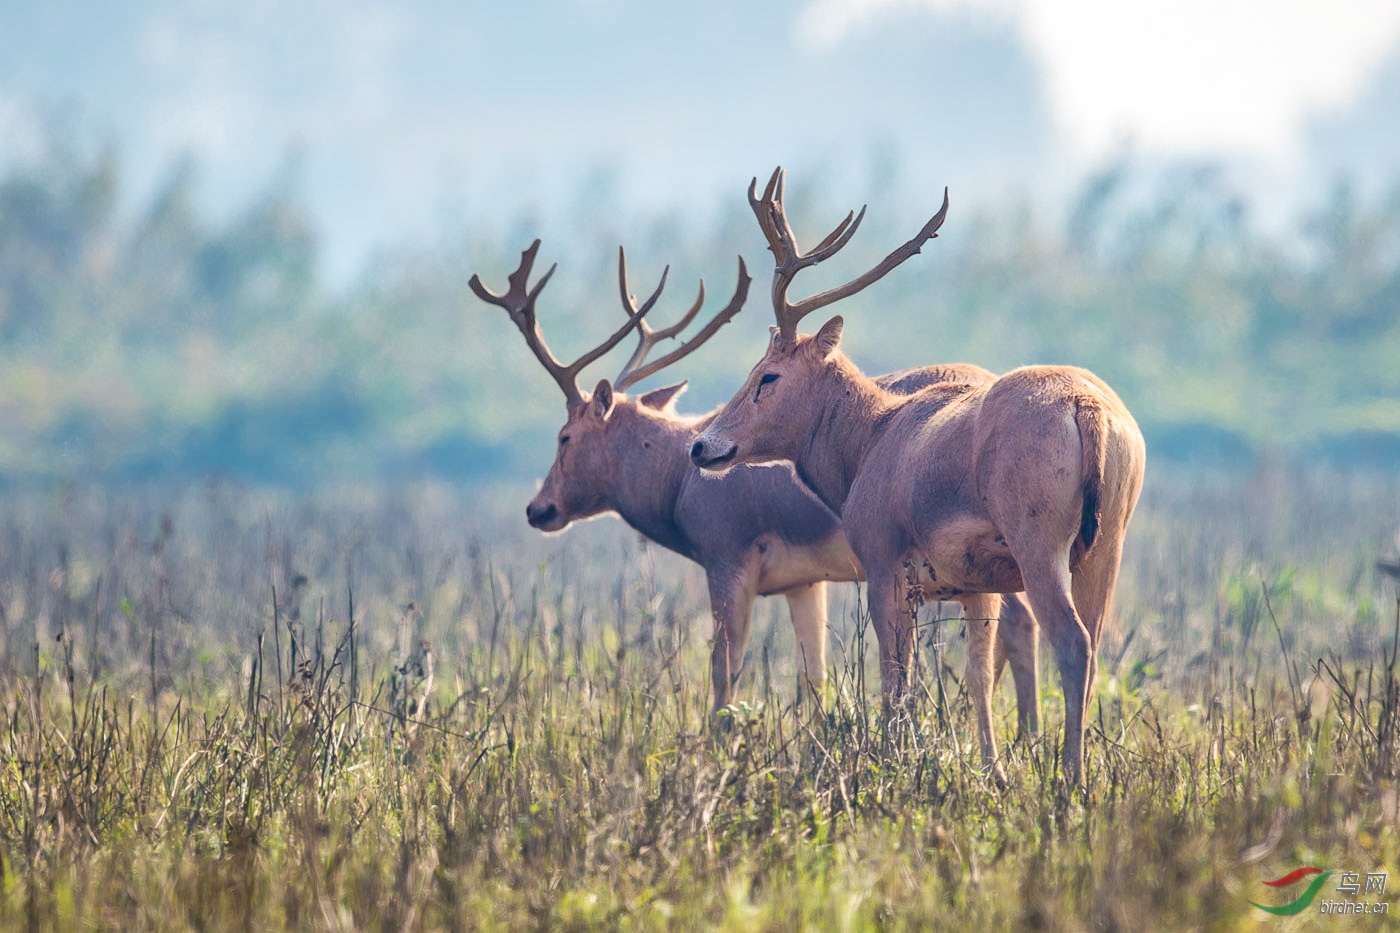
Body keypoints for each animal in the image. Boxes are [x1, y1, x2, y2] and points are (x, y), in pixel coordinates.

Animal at [470, 239, 1041, 728]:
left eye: (564, 436)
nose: (539, 509)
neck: (677, 481)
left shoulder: (727, 555)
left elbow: (724, 677)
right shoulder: (803, 581)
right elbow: (814, 677)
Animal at [691, 170, 1148, 778]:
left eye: (767, 375)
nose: (701, 446)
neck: (869, 443)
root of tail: (1088, 408)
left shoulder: (884, 562)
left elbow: (896, 679)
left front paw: (893, 762)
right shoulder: (978, 585)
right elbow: (978, 674)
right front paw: (992, 770)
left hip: (1037, 540)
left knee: (1072, 644)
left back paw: (1069, 780)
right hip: (1107, 543)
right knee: (1095, 646)